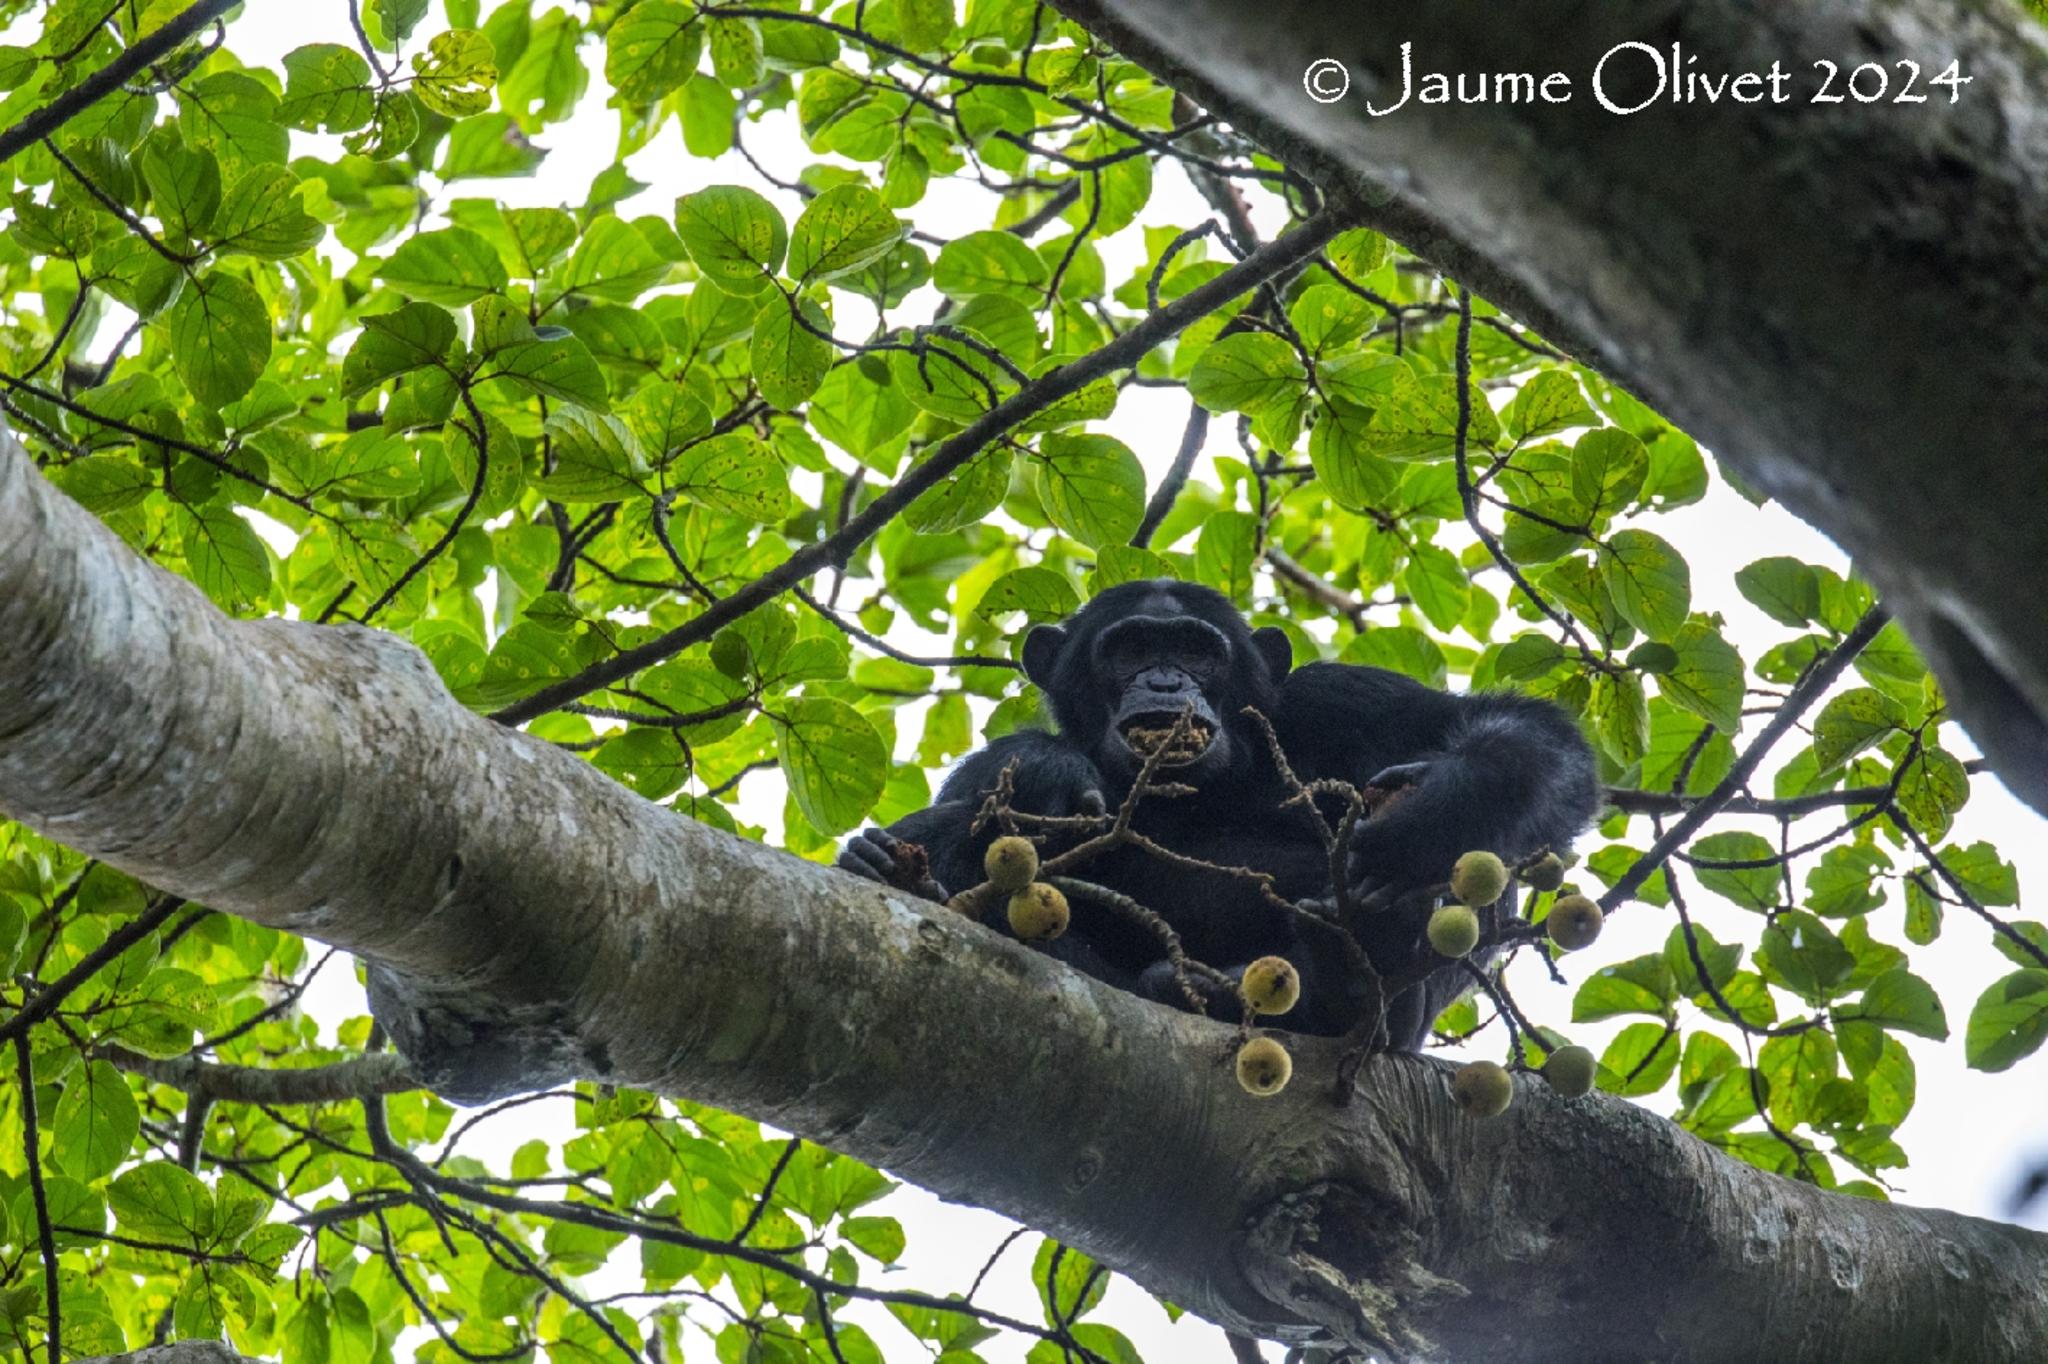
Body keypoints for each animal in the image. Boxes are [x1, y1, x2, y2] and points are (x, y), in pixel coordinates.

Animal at [831, 577, 1597, 1040]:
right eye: (1132, 647)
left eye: (1198, 650)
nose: (1166, 679)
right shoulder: (986, 767)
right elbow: (990, 791)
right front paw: (1050, 768)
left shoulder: (1343, 698)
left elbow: (1519, 735)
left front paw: (1435, 813)